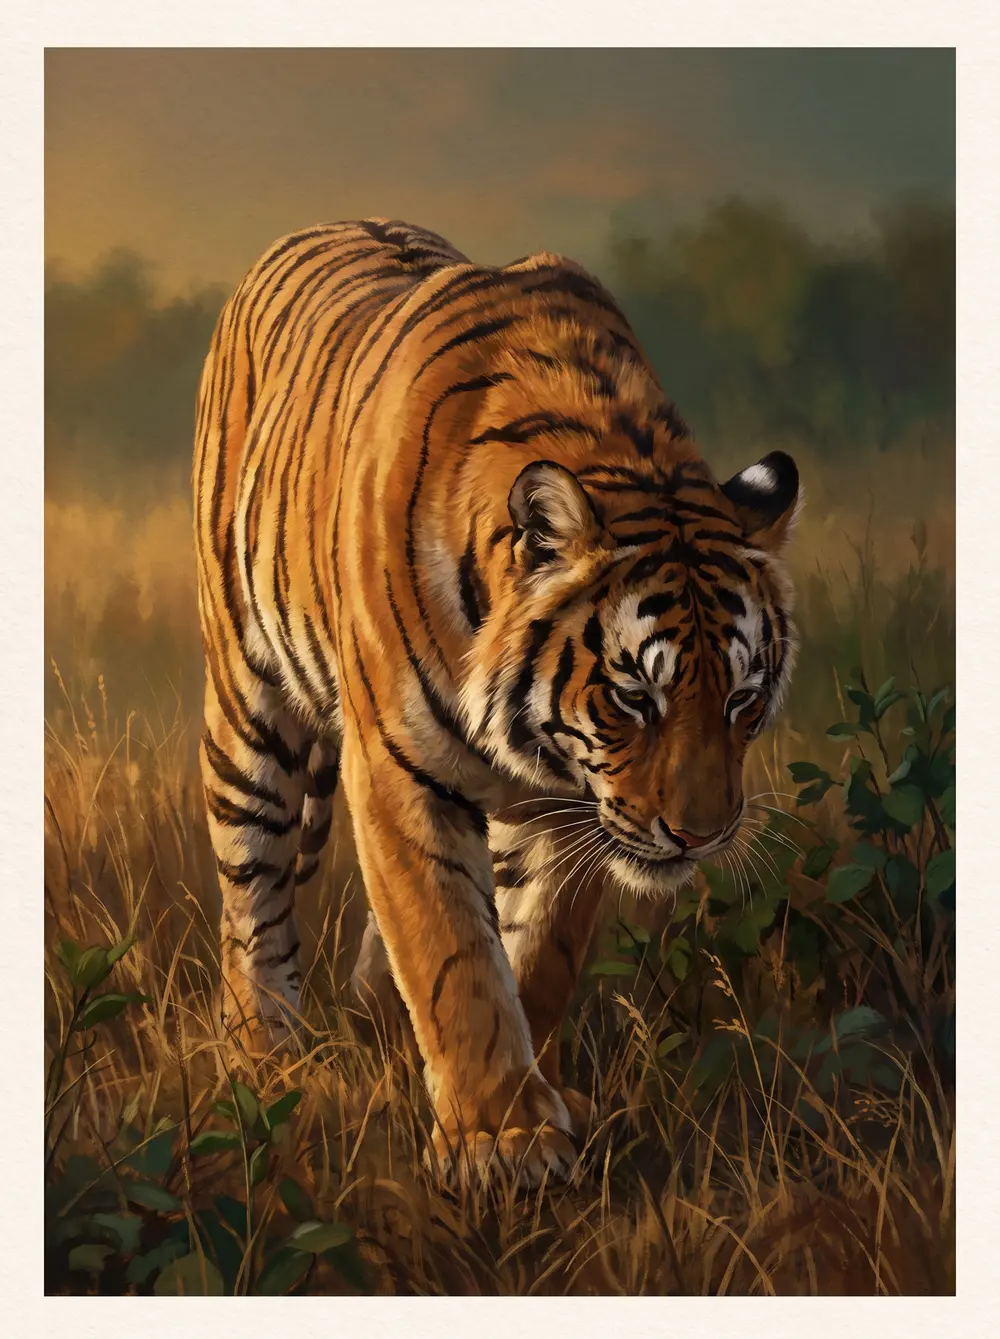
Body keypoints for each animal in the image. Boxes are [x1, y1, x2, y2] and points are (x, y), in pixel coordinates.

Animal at [193, 218, 800, 1186]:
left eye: (742, 698)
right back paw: (265, 1052)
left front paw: (538, 1102)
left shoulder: (573, 807)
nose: (700, 837)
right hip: (250, 708)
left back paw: (371, 1013)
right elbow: (453, 954)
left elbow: (536, 955)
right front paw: (499, 1143)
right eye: (634, 696)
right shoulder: (398, 768)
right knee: (254, 891)